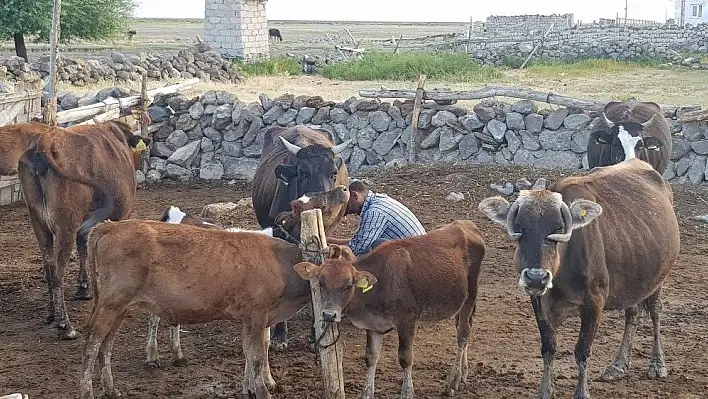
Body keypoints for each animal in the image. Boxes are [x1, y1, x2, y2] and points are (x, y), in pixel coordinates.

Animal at [79, 220, 312, 398]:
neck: (280, 262)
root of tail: (111, 225)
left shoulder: (259, 317)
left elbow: (256, 349)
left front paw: (251, 388)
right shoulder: (257, 314)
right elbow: (256, 356)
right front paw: (262, 391)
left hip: (119, 308)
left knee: (106, 345)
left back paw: (111, 390)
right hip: (110, 304)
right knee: (92, 344)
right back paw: (87, 392)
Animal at [290, 220, 484, 398]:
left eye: (348, 285)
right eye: (321, 283)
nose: (329, 315)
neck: (380, 284)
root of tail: (466, 225)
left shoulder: (406, 320)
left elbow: (405, 358)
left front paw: (407, 392)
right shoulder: (374, 325)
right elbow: (371, 357)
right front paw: (367, 393)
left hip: (471, 294)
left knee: (463, 335)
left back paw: (453, 382)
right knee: (464, 329)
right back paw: (463, 374)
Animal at [478, 158, 676, 398]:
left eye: (558, 229)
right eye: (519, 229)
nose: (536, 278)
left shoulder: (594, 302)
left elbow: (582, 351)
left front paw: (582, 392)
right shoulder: (537, 300)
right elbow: (548, 347)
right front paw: (545, 390)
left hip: (659, 278)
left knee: (655, 312)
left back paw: (657, 364)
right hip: (635, 279)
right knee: (633, 314)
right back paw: (618, 365)